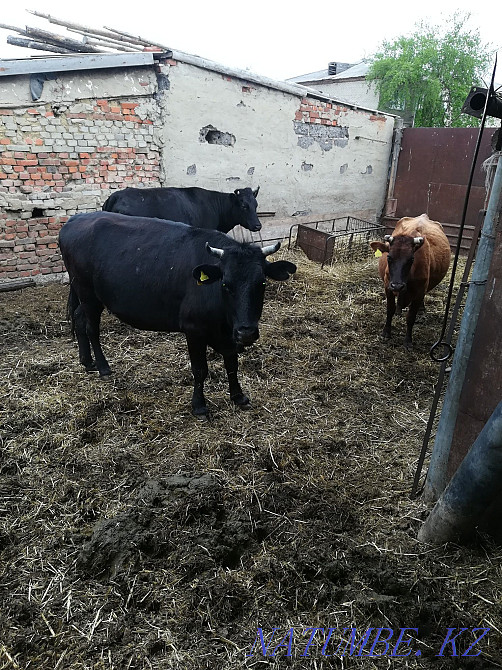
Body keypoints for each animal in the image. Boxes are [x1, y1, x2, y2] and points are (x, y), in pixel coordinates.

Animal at [58, 212, 296, 416]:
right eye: (225, 284)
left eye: (262, 283)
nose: (246, 332)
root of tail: (76, 218)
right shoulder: (194, 330)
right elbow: (200, 369)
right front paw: (199, 406)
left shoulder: (228, 333)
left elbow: (232, 363)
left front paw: (238, 396)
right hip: (88, 294)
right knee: (91, 328)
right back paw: (102, 367)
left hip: (84, 295)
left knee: (78, 319)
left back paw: (87, 361)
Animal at [369, 214, 451, 348]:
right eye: (389, 257)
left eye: (411, 259)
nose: (397, 286)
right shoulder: (388, 286)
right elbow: (390, 310)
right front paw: (386, 332)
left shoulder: (419, 291)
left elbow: (411, 317)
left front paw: (408, 341)